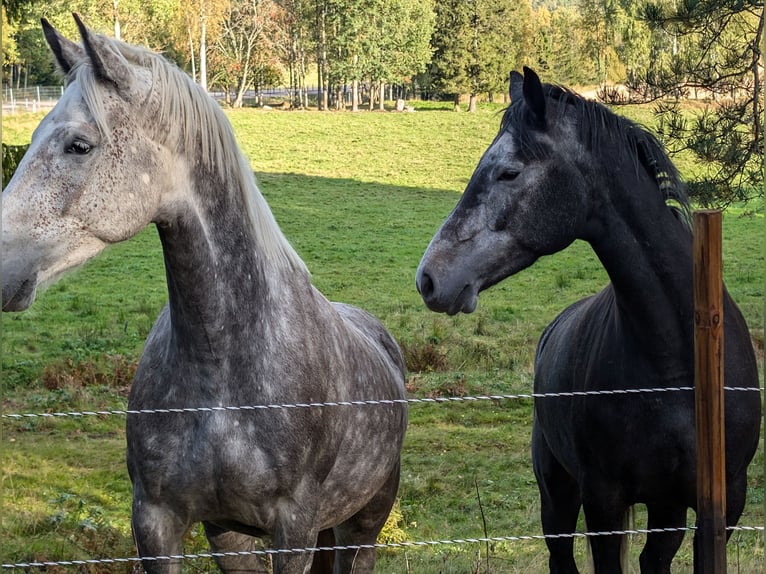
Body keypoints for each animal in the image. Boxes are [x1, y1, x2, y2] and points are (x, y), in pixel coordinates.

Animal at [416, 65, 764, 572]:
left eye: (508, 171)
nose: (428, 278)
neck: (677, 359)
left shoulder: (722, 505)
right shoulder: (603, 502)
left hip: (665, 508)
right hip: (558, 497)